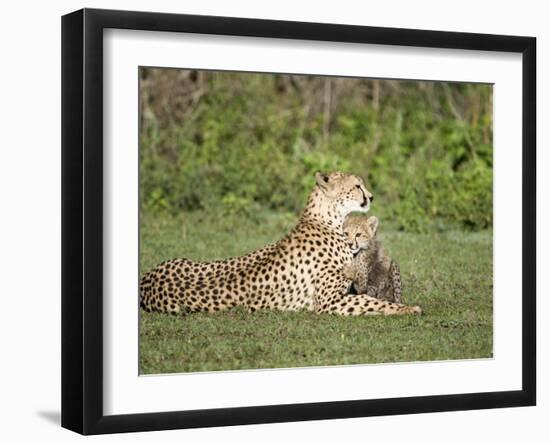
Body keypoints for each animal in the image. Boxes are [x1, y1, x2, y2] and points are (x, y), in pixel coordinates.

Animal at [141, 172, 422, 318]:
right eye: (357, 186)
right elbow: (373, 303)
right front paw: (409, 307)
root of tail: (146, 280)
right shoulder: (329, 302)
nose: (371, 196)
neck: (326, 219)